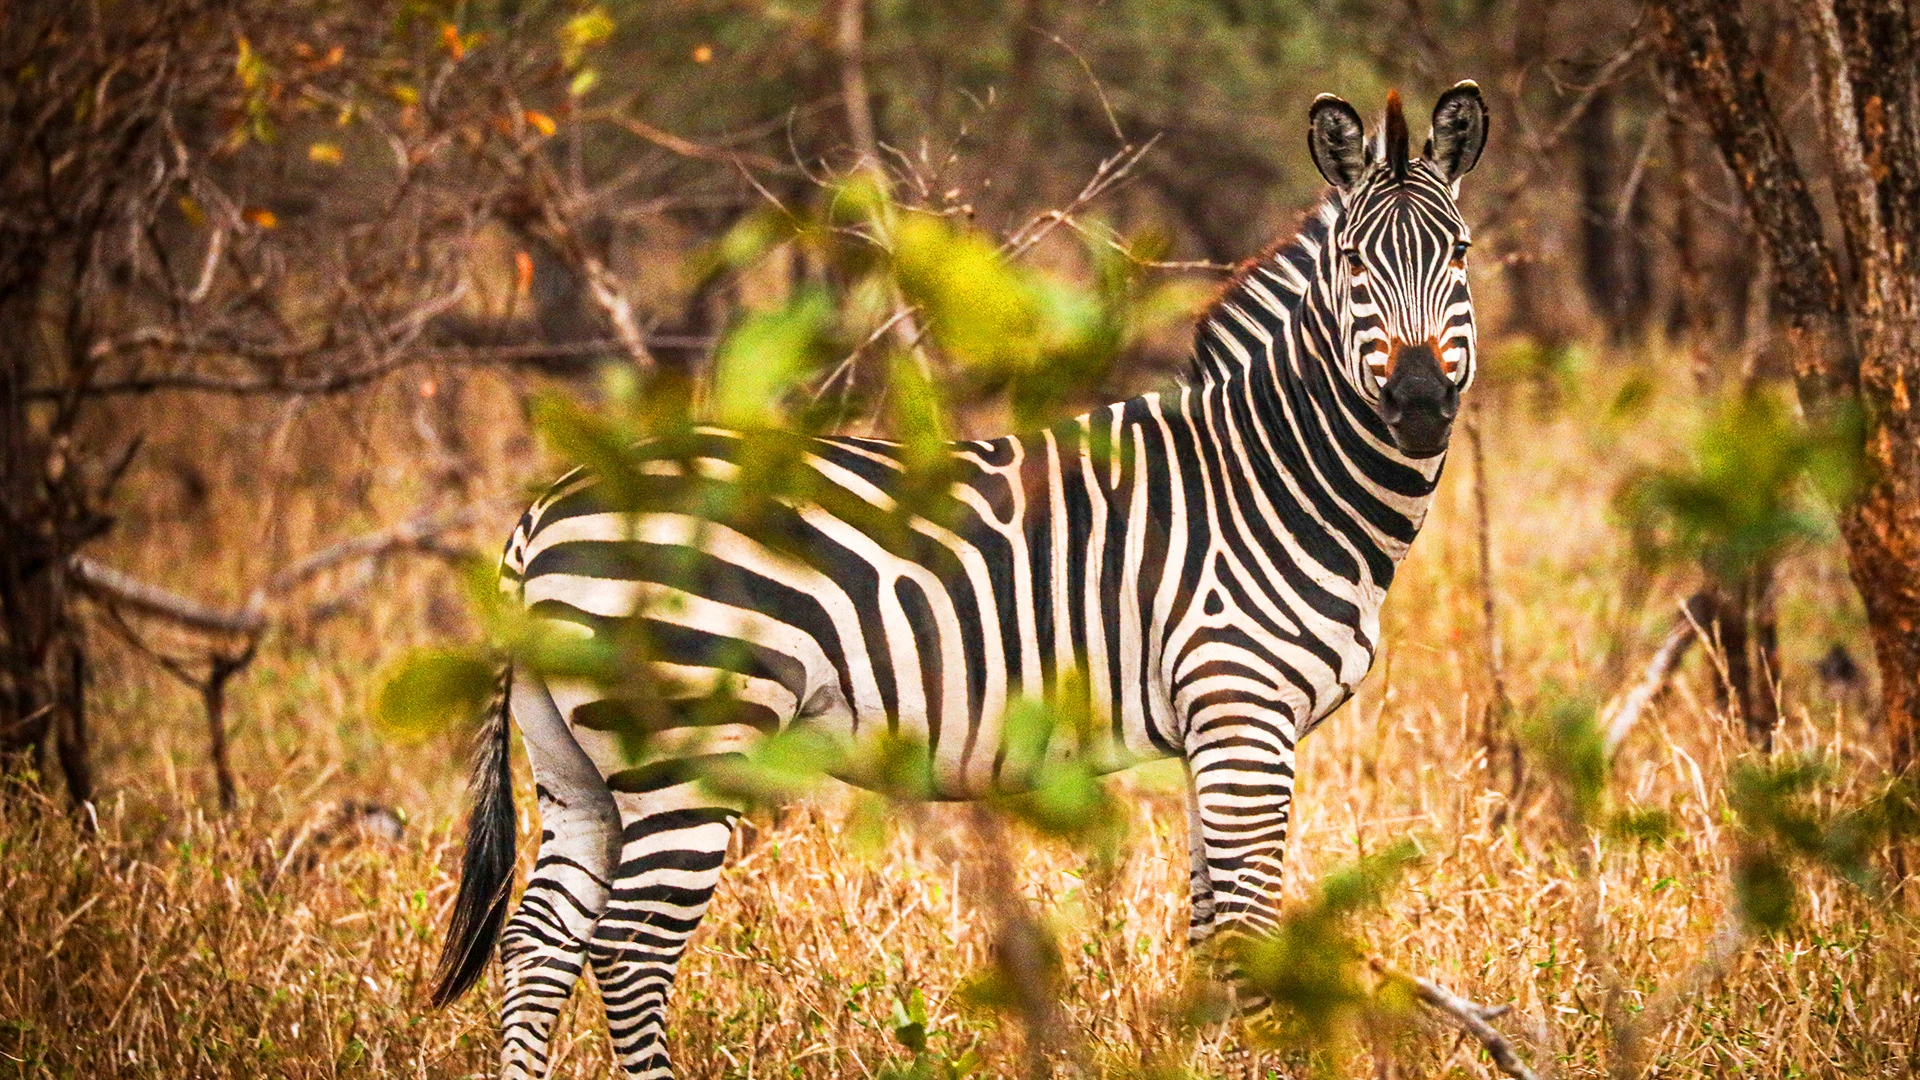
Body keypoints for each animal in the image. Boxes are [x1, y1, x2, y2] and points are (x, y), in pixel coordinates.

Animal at [431, 83, 1490, 1078]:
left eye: (1462, 252)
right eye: (1354, 266)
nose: (1420, 402)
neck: (1273, 477)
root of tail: (544, 509)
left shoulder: (1214, 732)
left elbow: (1208, 936)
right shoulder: (1243, 714)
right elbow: (1249, 937)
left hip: (576, 766)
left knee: (538, 944)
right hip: (685, 749)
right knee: (628, 954)